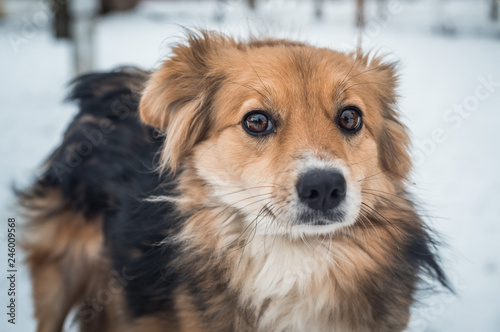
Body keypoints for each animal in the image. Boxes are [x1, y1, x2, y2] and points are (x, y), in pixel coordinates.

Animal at [18, 31, 450, 332]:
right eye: (256, 121)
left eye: (350, 117)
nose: (325, 188)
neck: (295, 257)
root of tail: (103, 86)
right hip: (58, 276)